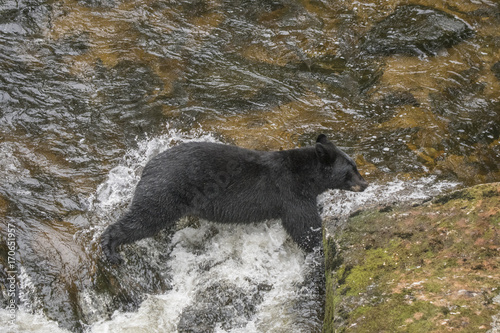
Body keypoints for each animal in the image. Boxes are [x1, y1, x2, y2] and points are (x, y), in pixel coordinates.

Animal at [101, 134, 368, 264]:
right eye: (351, 169)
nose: (365, 183)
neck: (307, 175)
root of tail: (147, 167)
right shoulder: (291, 193)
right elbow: (303, 226)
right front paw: (319, 245)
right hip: (165, 192)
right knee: (144, 218)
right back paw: (111, 249)